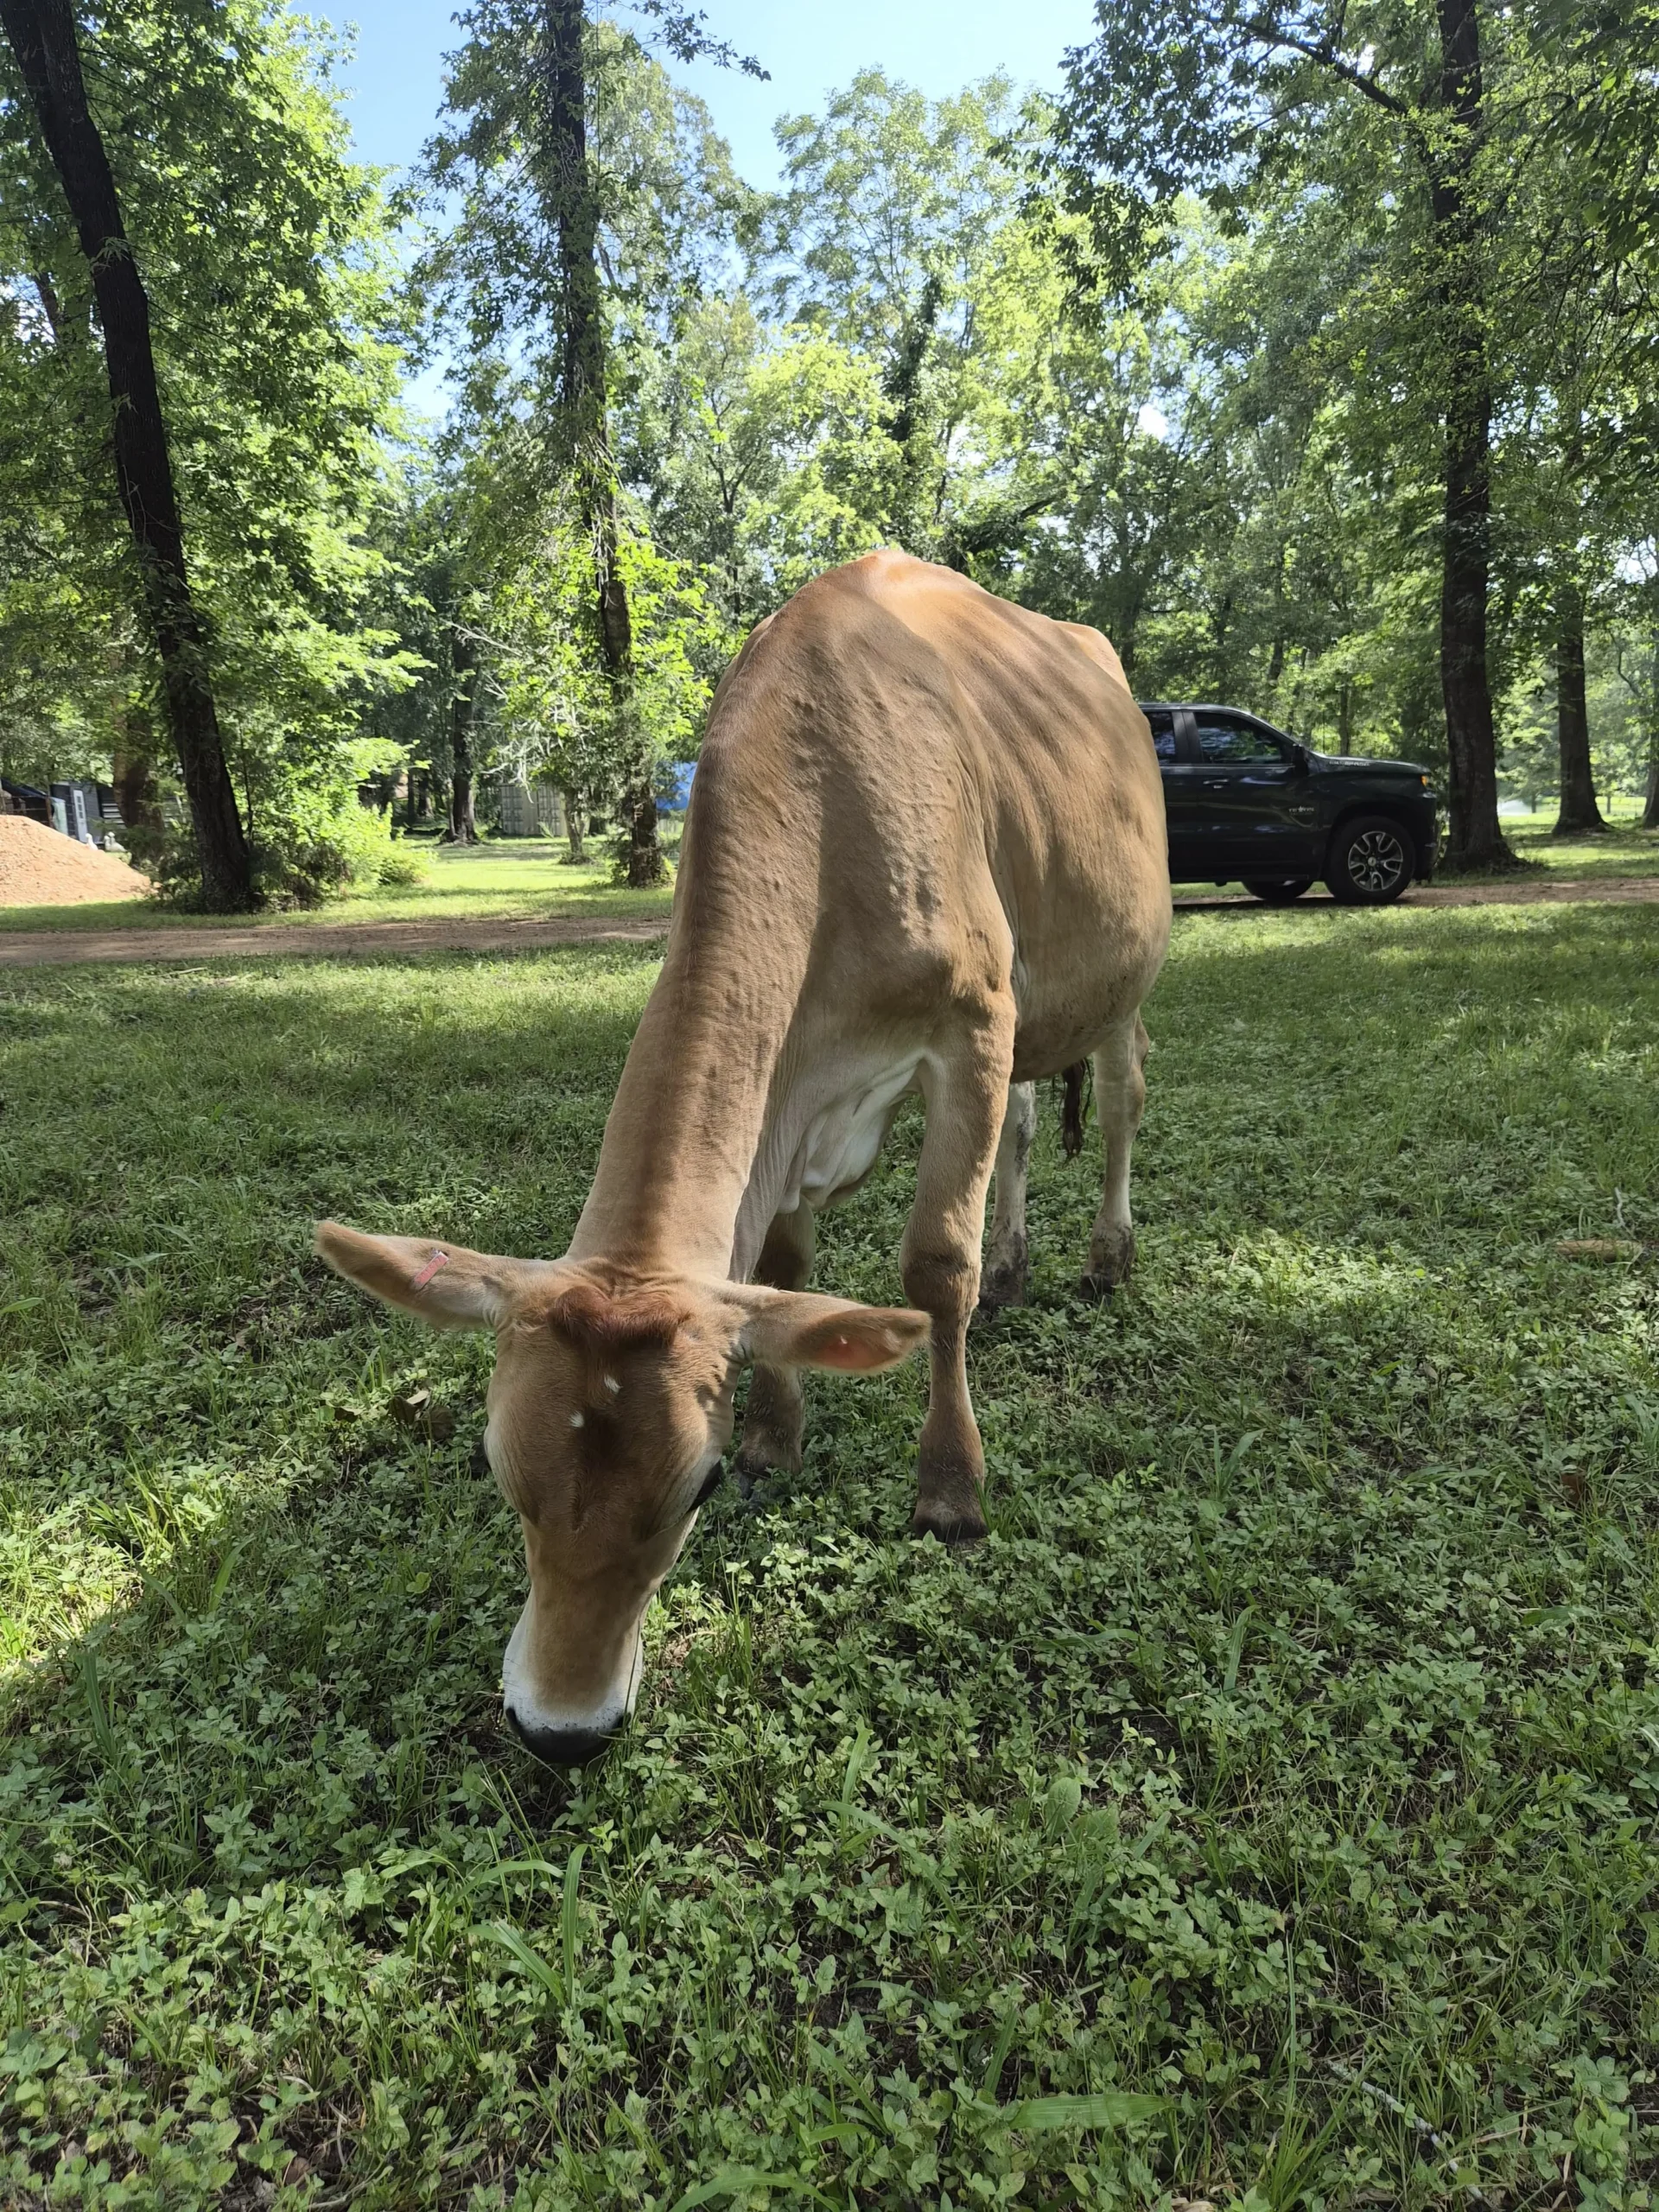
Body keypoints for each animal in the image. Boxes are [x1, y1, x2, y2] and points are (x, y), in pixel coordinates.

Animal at [318, 548, 1171, 1764]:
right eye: (495, 1466)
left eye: (698, 1484)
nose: (560, 1729)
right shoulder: (804, 1088)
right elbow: (783, 1267)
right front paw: (781, 1429)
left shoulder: (972, 1021)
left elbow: (933, 1267)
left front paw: (950, 1488)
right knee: (1017, 1133)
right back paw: (1017, 1266)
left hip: (1119, 975)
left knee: (1120, 1100)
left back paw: (1105, 1256)